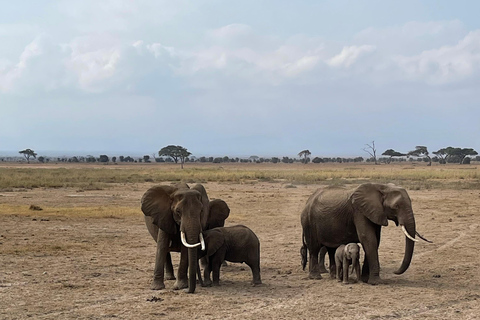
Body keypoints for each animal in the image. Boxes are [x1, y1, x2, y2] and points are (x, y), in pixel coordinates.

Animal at [300, 182, 432, 284]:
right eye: (396, 206)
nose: (395, 271)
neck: (382, 187)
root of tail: (308, 201)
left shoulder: (375, 213)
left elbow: (376, 240)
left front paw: (365, 279)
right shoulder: (359, 211)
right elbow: (368, 239)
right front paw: (376, 282)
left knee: (331, 249)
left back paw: (334, 277)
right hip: (309, 222)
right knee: (314, 248)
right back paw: (316, 277)